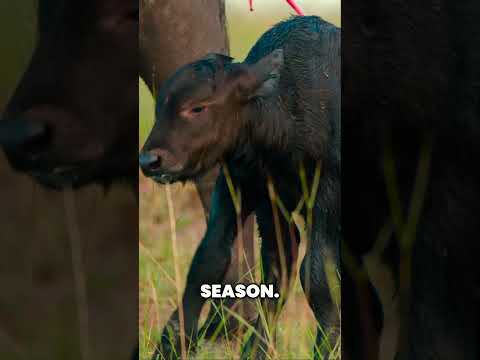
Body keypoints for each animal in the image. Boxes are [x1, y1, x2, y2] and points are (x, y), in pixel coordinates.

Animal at [140, 15, 342, 358]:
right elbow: (214, 261)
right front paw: (172, 344)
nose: (150, 160)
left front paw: (327, 345)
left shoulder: (327, 197)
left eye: (198, 107)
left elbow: (316, 275)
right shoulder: (247, 191)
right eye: (159, 109)